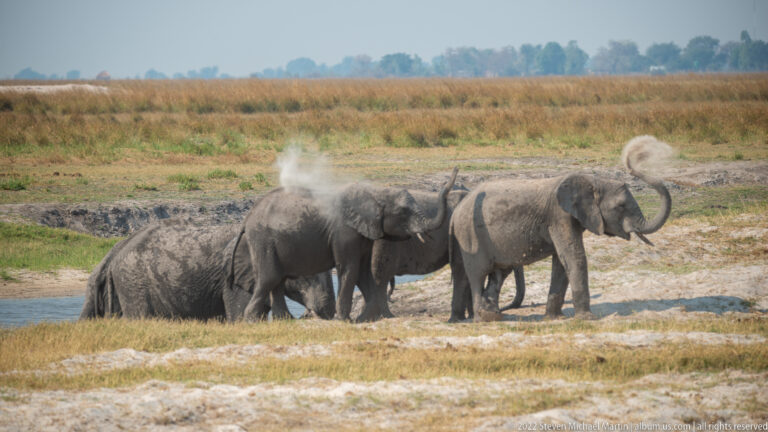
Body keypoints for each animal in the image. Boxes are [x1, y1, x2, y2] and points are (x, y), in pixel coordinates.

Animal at [233, 167, 459, 322]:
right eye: (404, 212)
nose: (456, 169)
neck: (375, 192)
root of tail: (248, 217)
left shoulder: (364, 233)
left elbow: (365, 273)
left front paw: (369, 319)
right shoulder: (343, 232)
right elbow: (350, 269)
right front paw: (346, 320)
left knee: (277, 280)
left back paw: (284, 321)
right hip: (262, 239)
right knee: (270, 277)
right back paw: (251, 320)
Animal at [371, 188, 526, 321]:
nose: (504, 309)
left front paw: (469, 317)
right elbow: (463, 268)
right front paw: (464, 318)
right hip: (386, 242)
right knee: (381, 276)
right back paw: (385, 316)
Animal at [448, 164, 670, 322]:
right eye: (621, 206)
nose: (631, 167)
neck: (592, 180)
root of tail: (457, 210)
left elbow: (562, 263)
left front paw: (554, 318)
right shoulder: (559, 216)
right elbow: (574, 257)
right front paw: (588, 318)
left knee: (498, 274)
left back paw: (493, 315)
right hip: (469, 235)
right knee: (478, 275)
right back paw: (482, 319)